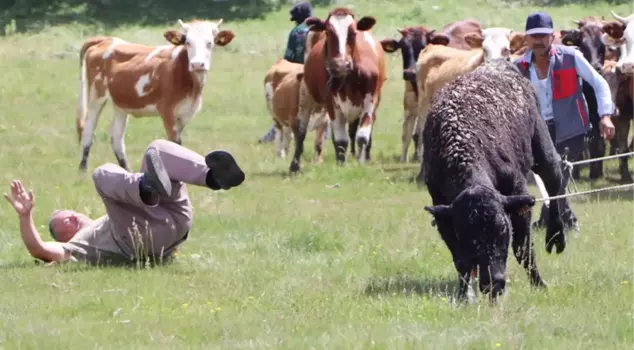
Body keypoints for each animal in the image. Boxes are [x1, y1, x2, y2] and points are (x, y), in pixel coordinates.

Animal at [76, 18, 235, 170]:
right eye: (188, 42)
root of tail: (107, 40)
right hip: (97, 95)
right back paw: (83, 169)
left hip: (120, 103)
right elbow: (174, 144)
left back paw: (127, 170)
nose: (197, 64)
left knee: (116, 138)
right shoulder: (168, 112)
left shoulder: (185, 115)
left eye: (210, 43)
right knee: (89, 128)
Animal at [286, 7, 386, 173]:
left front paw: (361, 162)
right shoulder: (332, 105)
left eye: (353, 32)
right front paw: (342, 165)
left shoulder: (371, 100)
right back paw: (294, 165)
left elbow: (362, 136)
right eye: (328, 32)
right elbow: (340, 140)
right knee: (301, 130)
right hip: (307, 95)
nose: (340, 65)